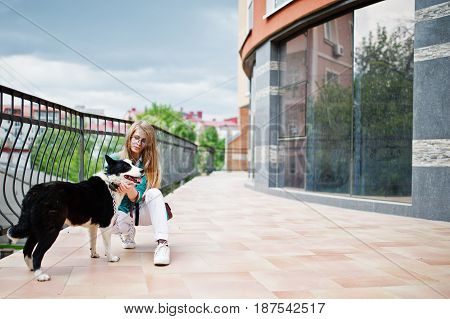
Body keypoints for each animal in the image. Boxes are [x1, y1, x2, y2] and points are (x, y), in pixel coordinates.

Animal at [7, 155, 141, 282]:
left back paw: (32, 269)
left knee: (27, 250)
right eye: (126, 166)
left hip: (36, 228)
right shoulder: (106, 225)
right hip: (51, 230)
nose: (142, 170)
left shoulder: (93, 226)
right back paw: (40, 275)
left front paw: (94, 254)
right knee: (37, 253)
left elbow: (93, 242)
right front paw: (111, 258)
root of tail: (35, 191)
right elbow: (107, 245)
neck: (110, 182)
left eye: (133, 164)